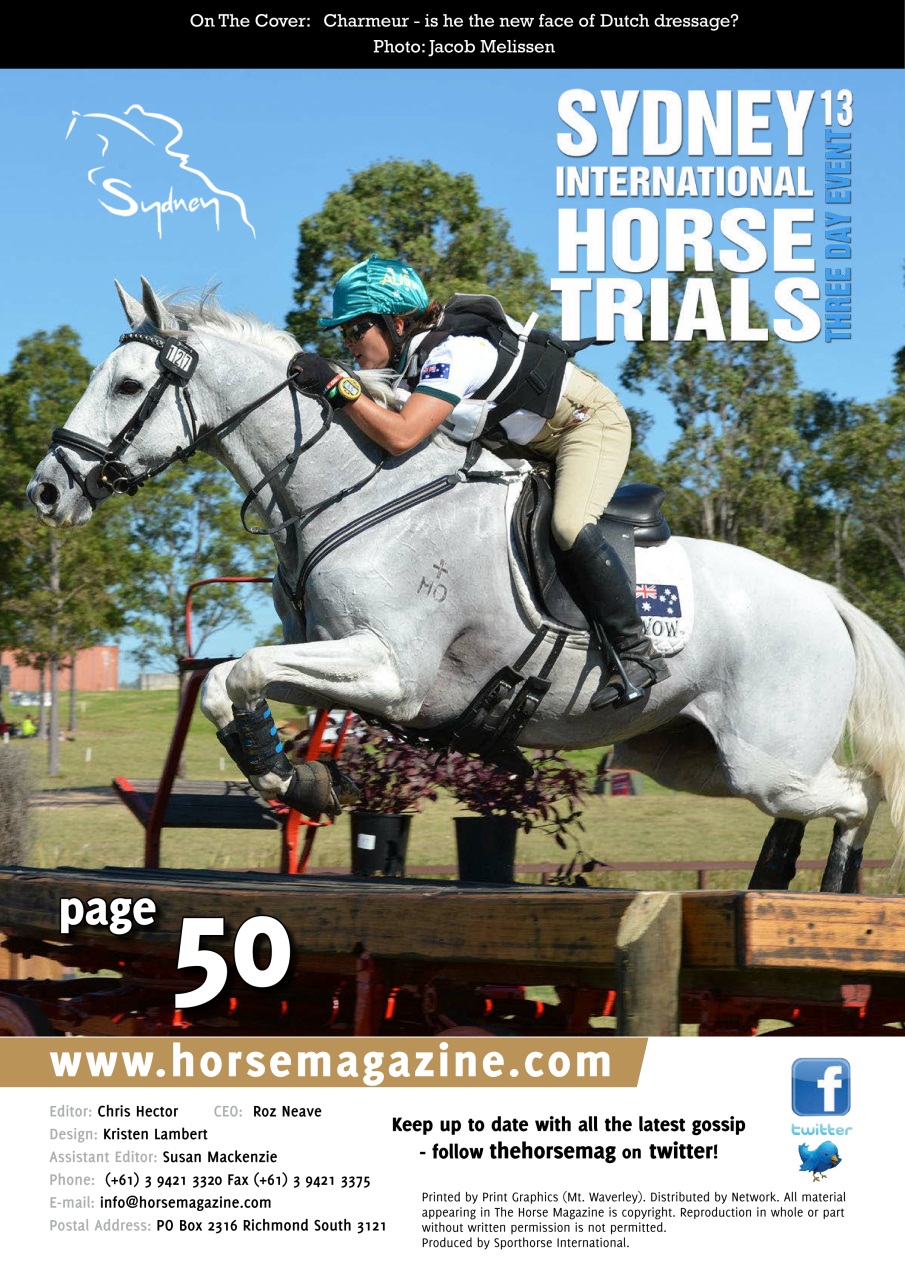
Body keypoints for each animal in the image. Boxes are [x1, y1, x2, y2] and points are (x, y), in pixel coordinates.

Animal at [25, 277, 905, 895]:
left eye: (127, 387)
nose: (45, 490)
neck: (359, 490)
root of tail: (826, 599)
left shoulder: (394, 672)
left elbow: (240, 670)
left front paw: (294, 778)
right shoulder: (334, 654)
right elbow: (232, 682)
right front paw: (300, 777)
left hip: (763, 754)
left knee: (855, 796)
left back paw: (830, 898)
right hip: (689, 754)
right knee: (809, 804)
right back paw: (771, 889)